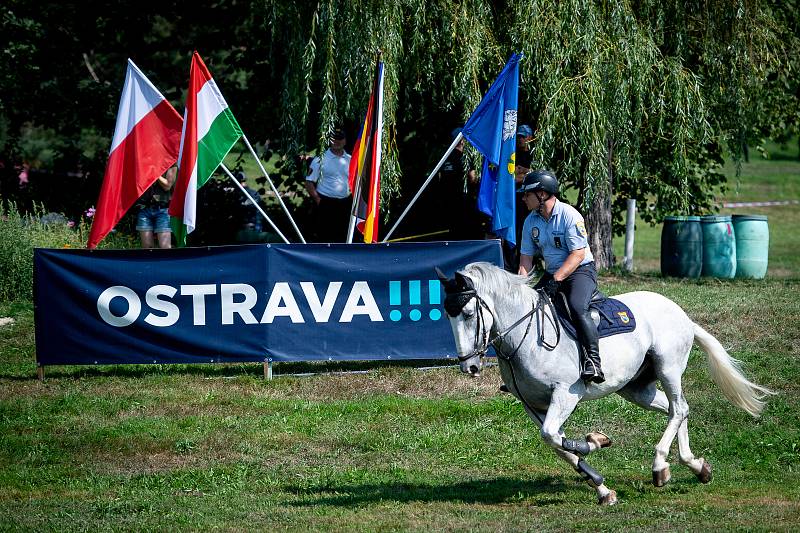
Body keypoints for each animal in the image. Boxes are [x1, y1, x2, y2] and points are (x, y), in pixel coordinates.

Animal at [438, 264, 776, 504]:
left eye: (468, 313)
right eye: (447, 315)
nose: (469, 366)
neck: (526, 336)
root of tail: (681, 313)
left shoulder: (565, 395)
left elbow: (555, 437)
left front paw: (595, 442)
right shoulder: (533, 405)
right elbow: (558, 444)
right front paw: (602, 487)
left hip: (668, 368)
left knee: (679, 408)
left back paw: (659, 467)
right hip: (637, 388)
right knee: (676, 409)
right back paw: (693, 465)